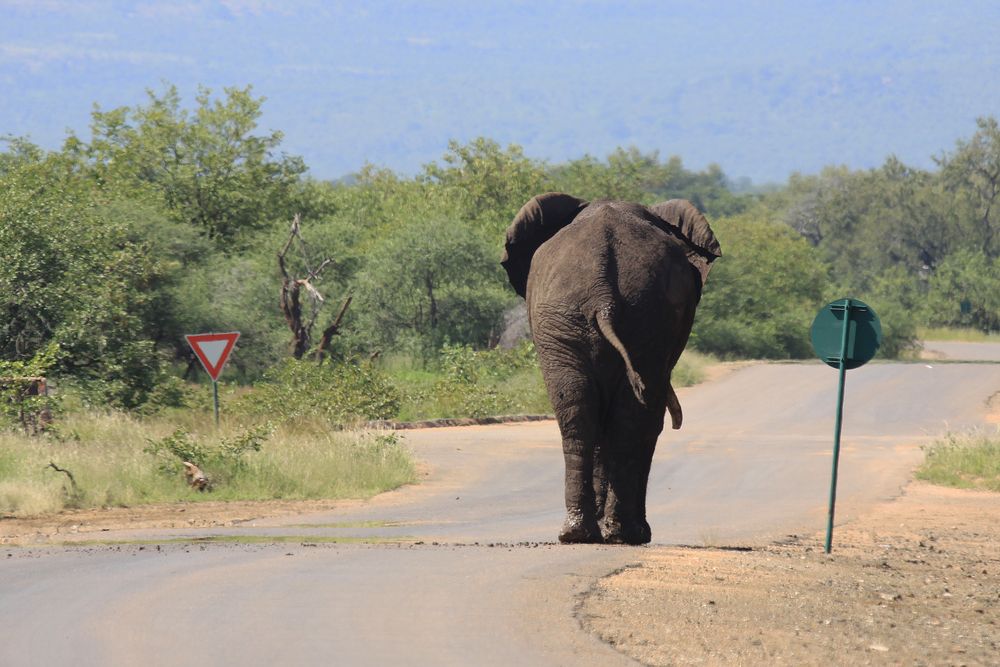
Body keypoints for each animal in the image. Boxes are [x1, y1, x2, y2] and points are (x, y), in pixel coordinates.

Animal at [504, 194, 724, 548]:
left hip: (610, 318)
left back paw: (583, 533)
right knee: (625, 416)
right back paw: (620, 534)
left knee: (581, 412)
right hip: (628, 318)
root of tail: (603, 295)